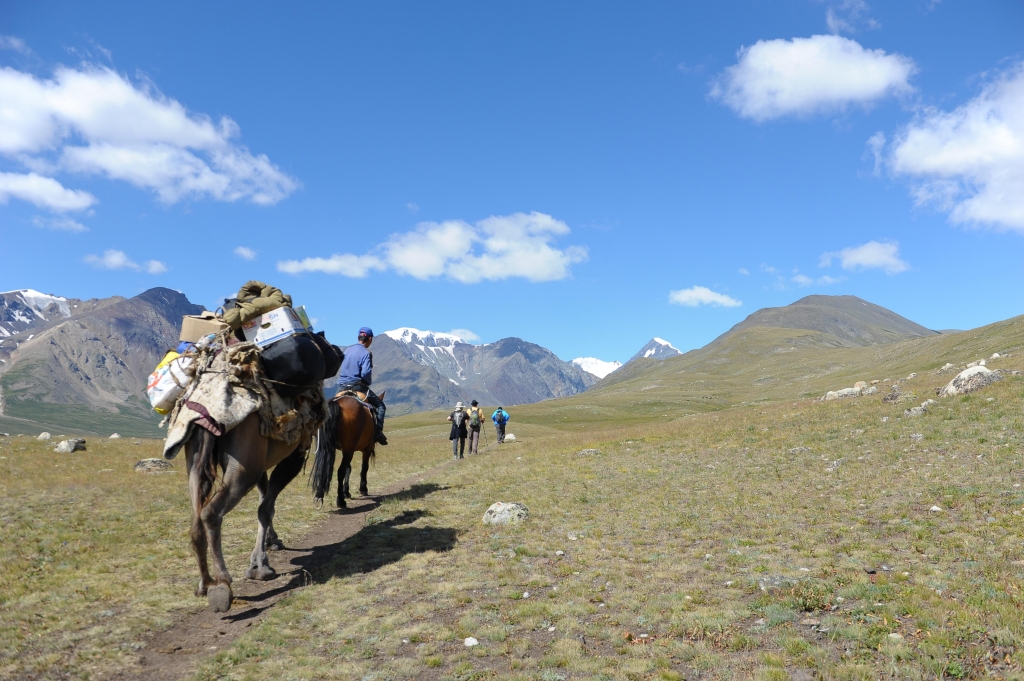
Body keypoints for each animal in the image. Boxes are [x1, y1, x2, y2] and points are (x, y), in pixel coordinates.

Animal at [185, 411, 309, 614]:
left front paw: (271, 542)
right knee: (210, 512)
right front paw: (260, 566)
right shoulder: (295, 451)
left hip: (194, 463)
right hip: (244, 466)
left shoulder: (263, 460)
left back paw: (204, 584)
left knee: (196, 519)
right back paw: (222, 584)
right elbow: (265, 507)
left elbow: (264, 497)